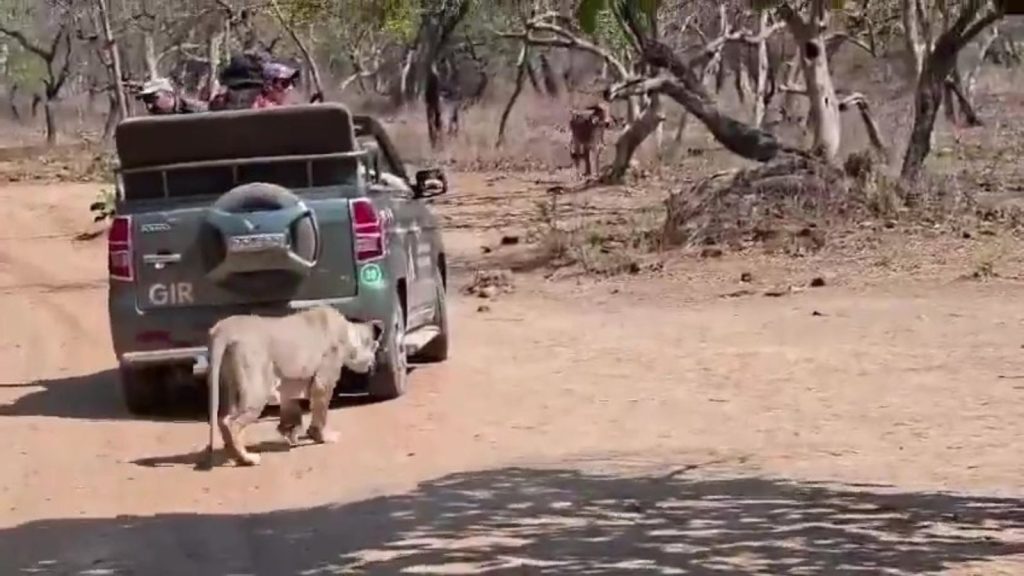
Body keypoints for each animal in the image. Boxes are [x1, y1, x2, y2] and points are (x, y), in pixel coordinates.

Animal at [203, 305, 380, 467]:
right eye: (375, 348)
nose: (373, 364)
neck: (348, 334)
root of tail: (224, 327)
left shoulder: (289, 381)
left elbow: (291, 408)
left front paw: (290, 432)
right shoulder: (323, 381)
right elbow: (321, 411)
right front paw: (322, 436)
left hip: (232, 386)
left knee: (223, 419)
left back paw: (234, 455)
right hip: (256, 390)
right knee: (232, 423)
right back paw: (248, 458)